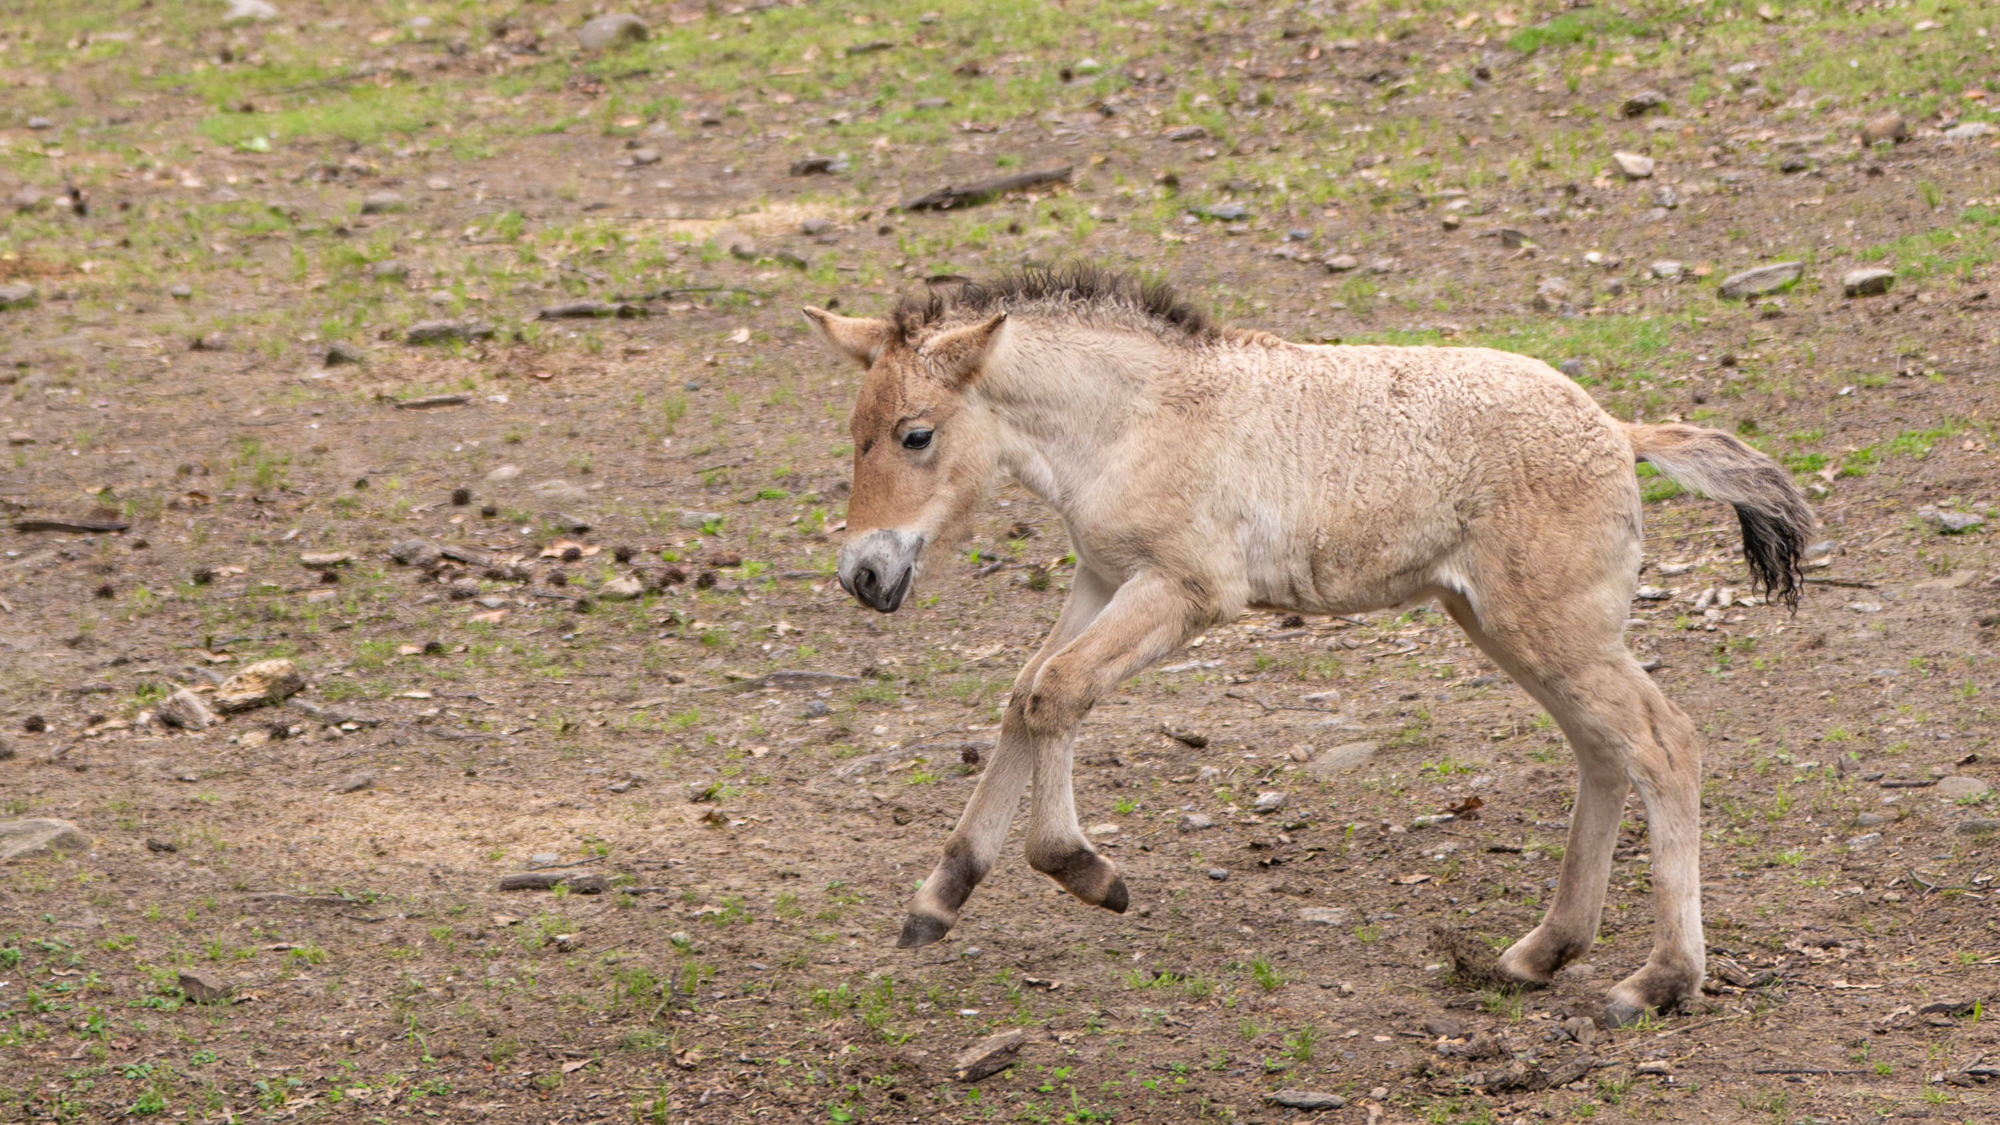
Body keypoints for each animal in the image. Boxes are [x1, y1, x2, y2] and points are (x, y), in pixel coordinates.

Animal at [803, 265, 1812, 1025]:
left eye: (916, 434)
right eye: (852, 434)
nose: (864, 574)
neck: (1135, 416)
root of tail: (1618, 429)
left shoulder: (1185, 590)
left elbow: (1057, 690)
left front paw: (1087, 871)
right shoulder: (1100, 576)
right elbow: (1027, 691)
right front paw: (938, 898)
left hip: (1550, 627)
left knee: (1663, 742)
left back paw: (1659, 980)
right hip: (1505, 624)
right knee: (1604, 753)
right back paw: (1540, 951)